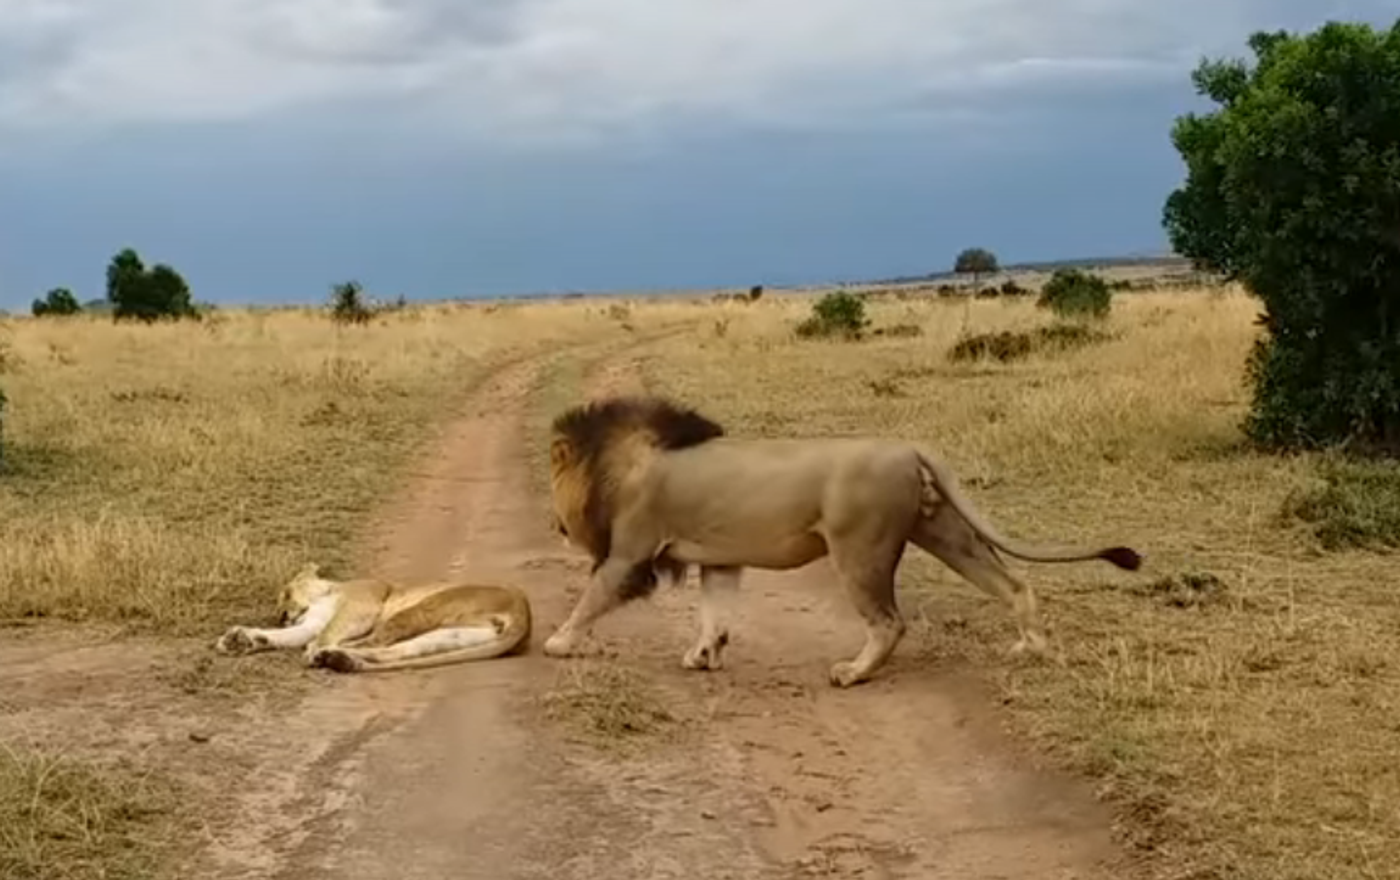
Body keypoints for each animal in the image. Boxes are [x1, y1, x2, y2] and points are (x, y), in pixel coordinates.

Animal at [215, 562, 532, 671]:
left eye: (287, 593)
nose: (281, 615)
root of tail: (524, 613)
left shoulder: (361, 605)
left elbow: (325, 632)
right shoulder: (311, 623)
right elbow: (290, 635)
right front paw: (242, 639)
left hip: (424, 607)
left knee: (375, 641)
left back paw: (327, 655)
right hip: (451, 634)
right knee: (395, 650)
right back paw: (338, 658)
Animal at [540, 394, 1142, 691]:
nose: (556, 526)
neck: (621, 462)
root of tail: (908, 446)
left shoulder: (629, 554)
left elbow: (590, 599)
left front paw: (559, 642)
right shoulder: (720, 561)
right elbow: (715, 612)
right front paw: (703, 655)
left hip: (859, 547)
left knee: (889, 622)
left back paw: (853, 673)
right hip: (943, 531)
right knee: (1012, 582)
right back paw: (1032, 647)